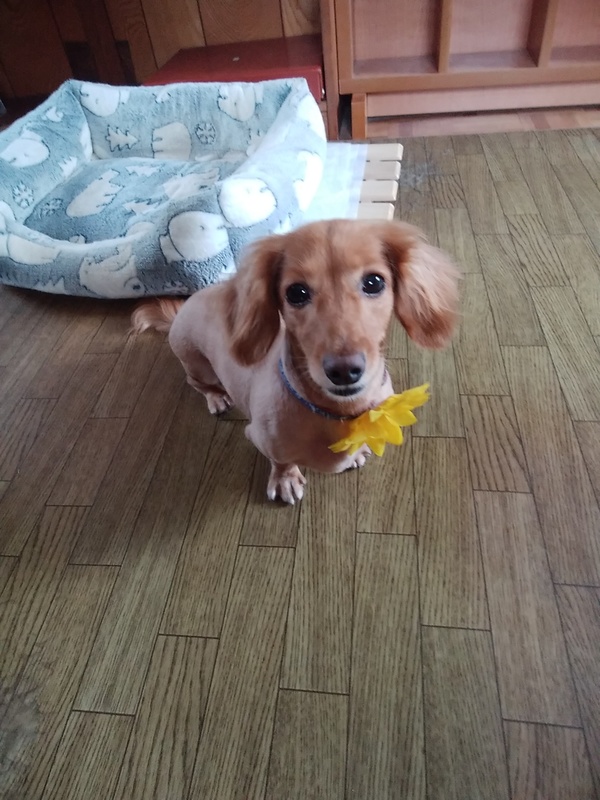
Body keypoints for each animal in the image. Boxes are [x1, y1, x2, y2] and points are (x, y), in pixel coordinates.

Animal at [131, 219, 459, 504]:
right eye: (296, 292)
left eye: (374, 281)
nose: (344, 371)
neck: (338, 414)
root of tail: (185, 305)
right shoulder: (261, 438)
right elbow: (281, 460)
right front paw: (285, 479)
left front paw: (357, 453)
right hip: (197, 364)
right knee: (196, 382)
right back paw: (216, 397)